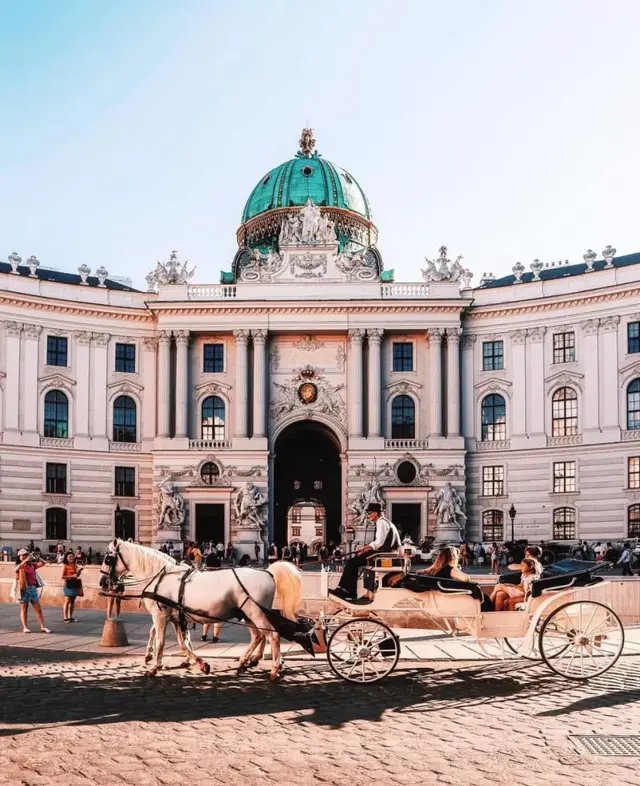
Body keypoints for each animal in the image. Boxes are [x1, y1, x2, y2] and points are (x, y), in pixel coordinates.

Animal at [99, 540, 304, 680]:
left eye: (108, 558)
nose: (102, 582)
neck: (161, 577)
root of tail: (268, 572)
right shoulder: (176, 617)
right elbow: (183, 643)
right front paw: (200, 663)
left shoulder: (160, 615)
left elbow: (161, 641)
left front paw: (154, 666)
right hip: (249, 614)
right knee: (258, 636)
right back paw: (245, 662)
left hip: (256, 613)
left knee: (272, 636)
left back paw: (274, 669)